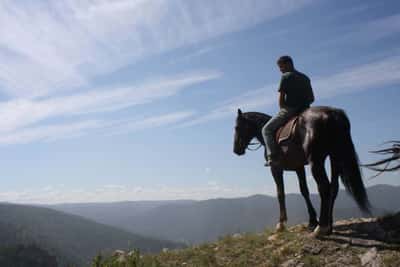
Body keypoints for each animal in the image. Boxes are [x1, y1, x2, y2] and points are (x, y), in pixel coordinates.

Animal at [233, 107, 370, 237]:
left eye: (237, 127)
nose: (236, 150)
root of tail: (332, 113)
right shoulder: (299, 168)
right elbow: (304, 191)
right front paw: (312, 220)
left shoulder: (276, 169)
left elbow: (280, 193)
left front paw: (281, 224)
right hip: (335, 158)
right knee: (333, 188)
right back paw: (329, 226)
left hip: (316, 162)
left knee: (324, 188)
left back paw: (321, 228)